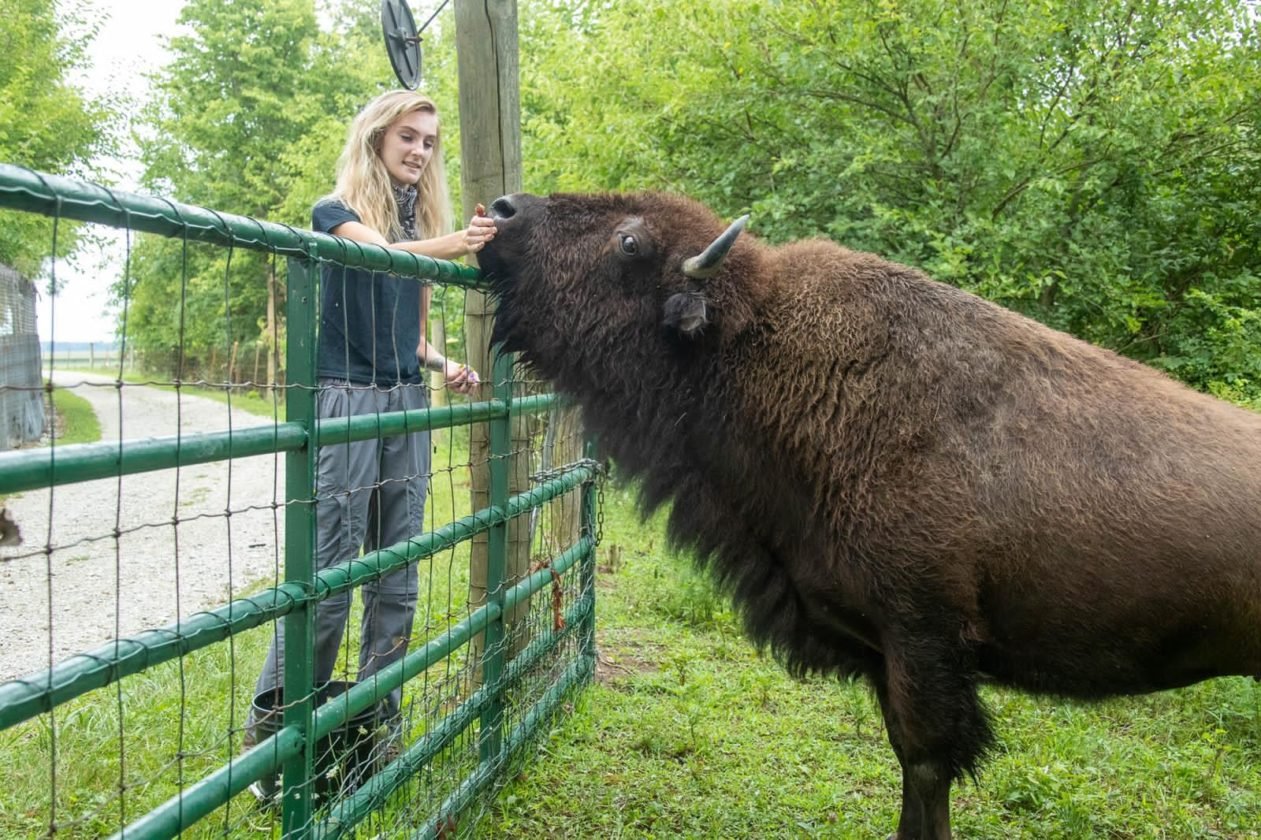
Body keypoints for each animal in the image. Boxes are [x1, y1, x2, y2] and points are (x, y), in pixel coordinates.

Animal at [474, 191, 1261, 837]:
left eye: (630, 242)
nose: (503, 211)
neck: (754, 348)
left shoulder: (924, 640)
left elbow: (926, 767)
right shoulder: (888, 653)